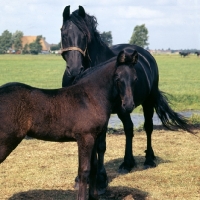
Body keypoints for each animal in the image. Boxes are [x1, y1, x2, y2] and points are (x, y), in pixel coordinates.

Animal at [0, 50, 138, 199]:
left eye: (135, 78)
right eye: (117, 77)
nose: (128, 105)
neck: (90, 97)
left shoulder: (94, 138)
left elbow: (94, 167)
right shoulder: (85, 138)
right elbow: (84, 170)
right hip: (6, 140)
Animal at [60, 5, 191, 194]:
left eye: (84, 35)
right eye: (63, 33)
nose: (75, 69)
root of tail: (144, 54)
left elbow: (100, 145)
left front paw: (101, 180)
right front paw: (80, 179)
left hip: (147, 102)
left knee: (148, 127)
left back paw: (148, 160)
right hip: (124, 109)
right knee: (129, 129)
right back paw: (127, 163)